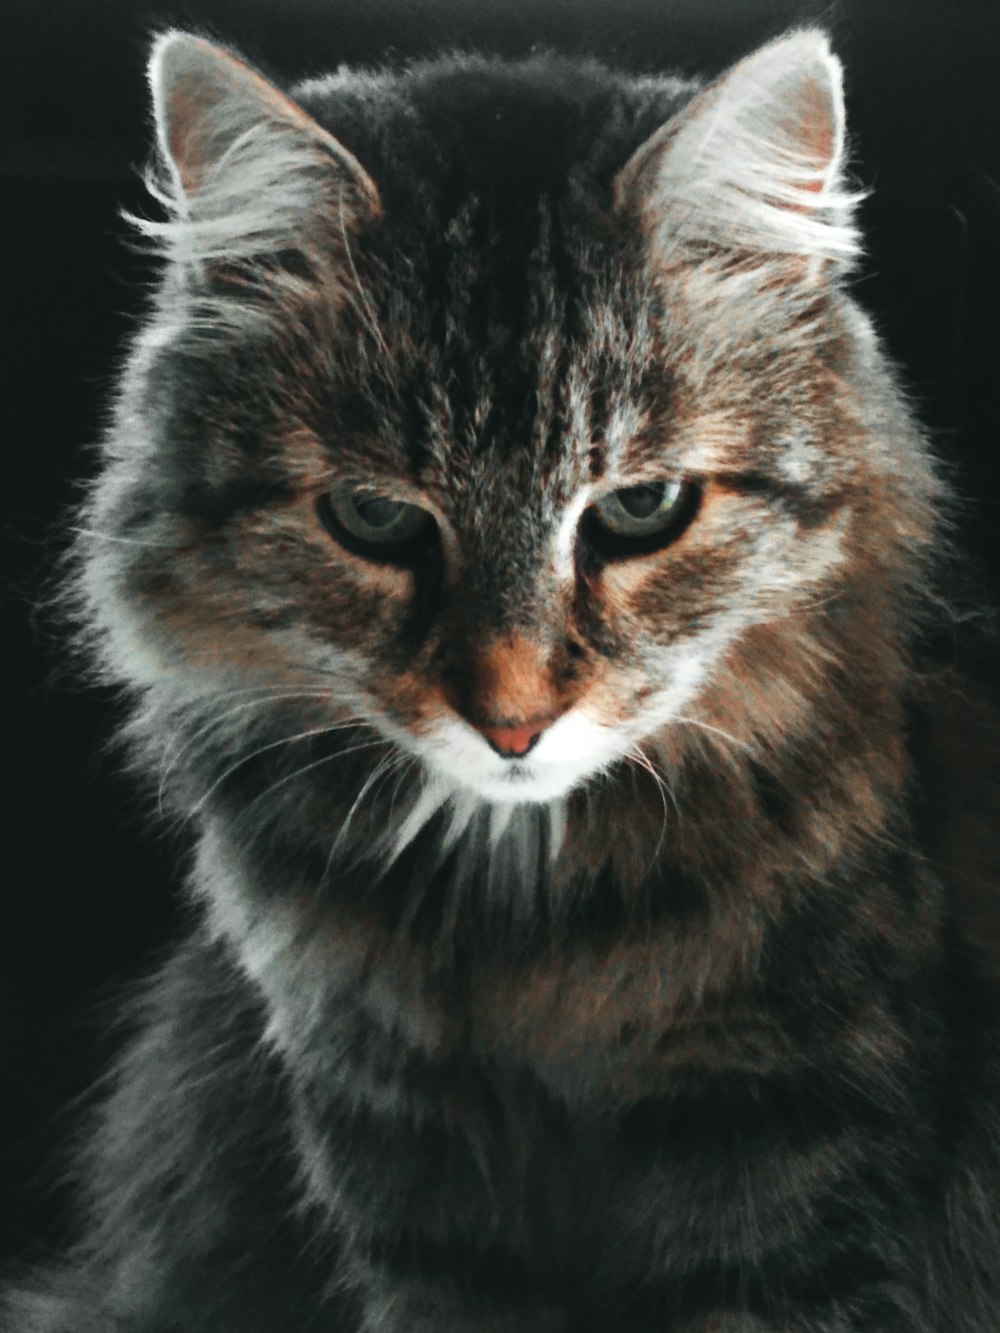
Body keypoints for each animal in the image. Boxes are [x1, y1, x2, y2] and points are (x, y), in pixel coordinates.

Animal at [1, 23, 1000, 1333]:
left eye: (640, 507)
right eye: (375, 519)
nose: (512, 722)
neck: (528, 929)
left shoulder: (785, 1143)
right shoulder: (409, 1160)